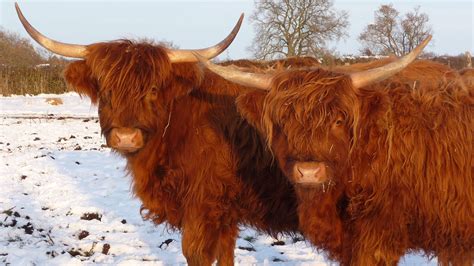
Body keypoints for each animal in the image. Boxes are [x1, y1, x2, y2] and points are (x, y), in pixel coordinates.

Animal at [15, 4, 312, 266]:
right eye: (106, 91)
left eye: (153, 90)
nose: (126, 137)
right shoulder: (226, 212)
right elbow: (225, 254)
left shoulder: (203, 206)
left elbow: (197, 254)